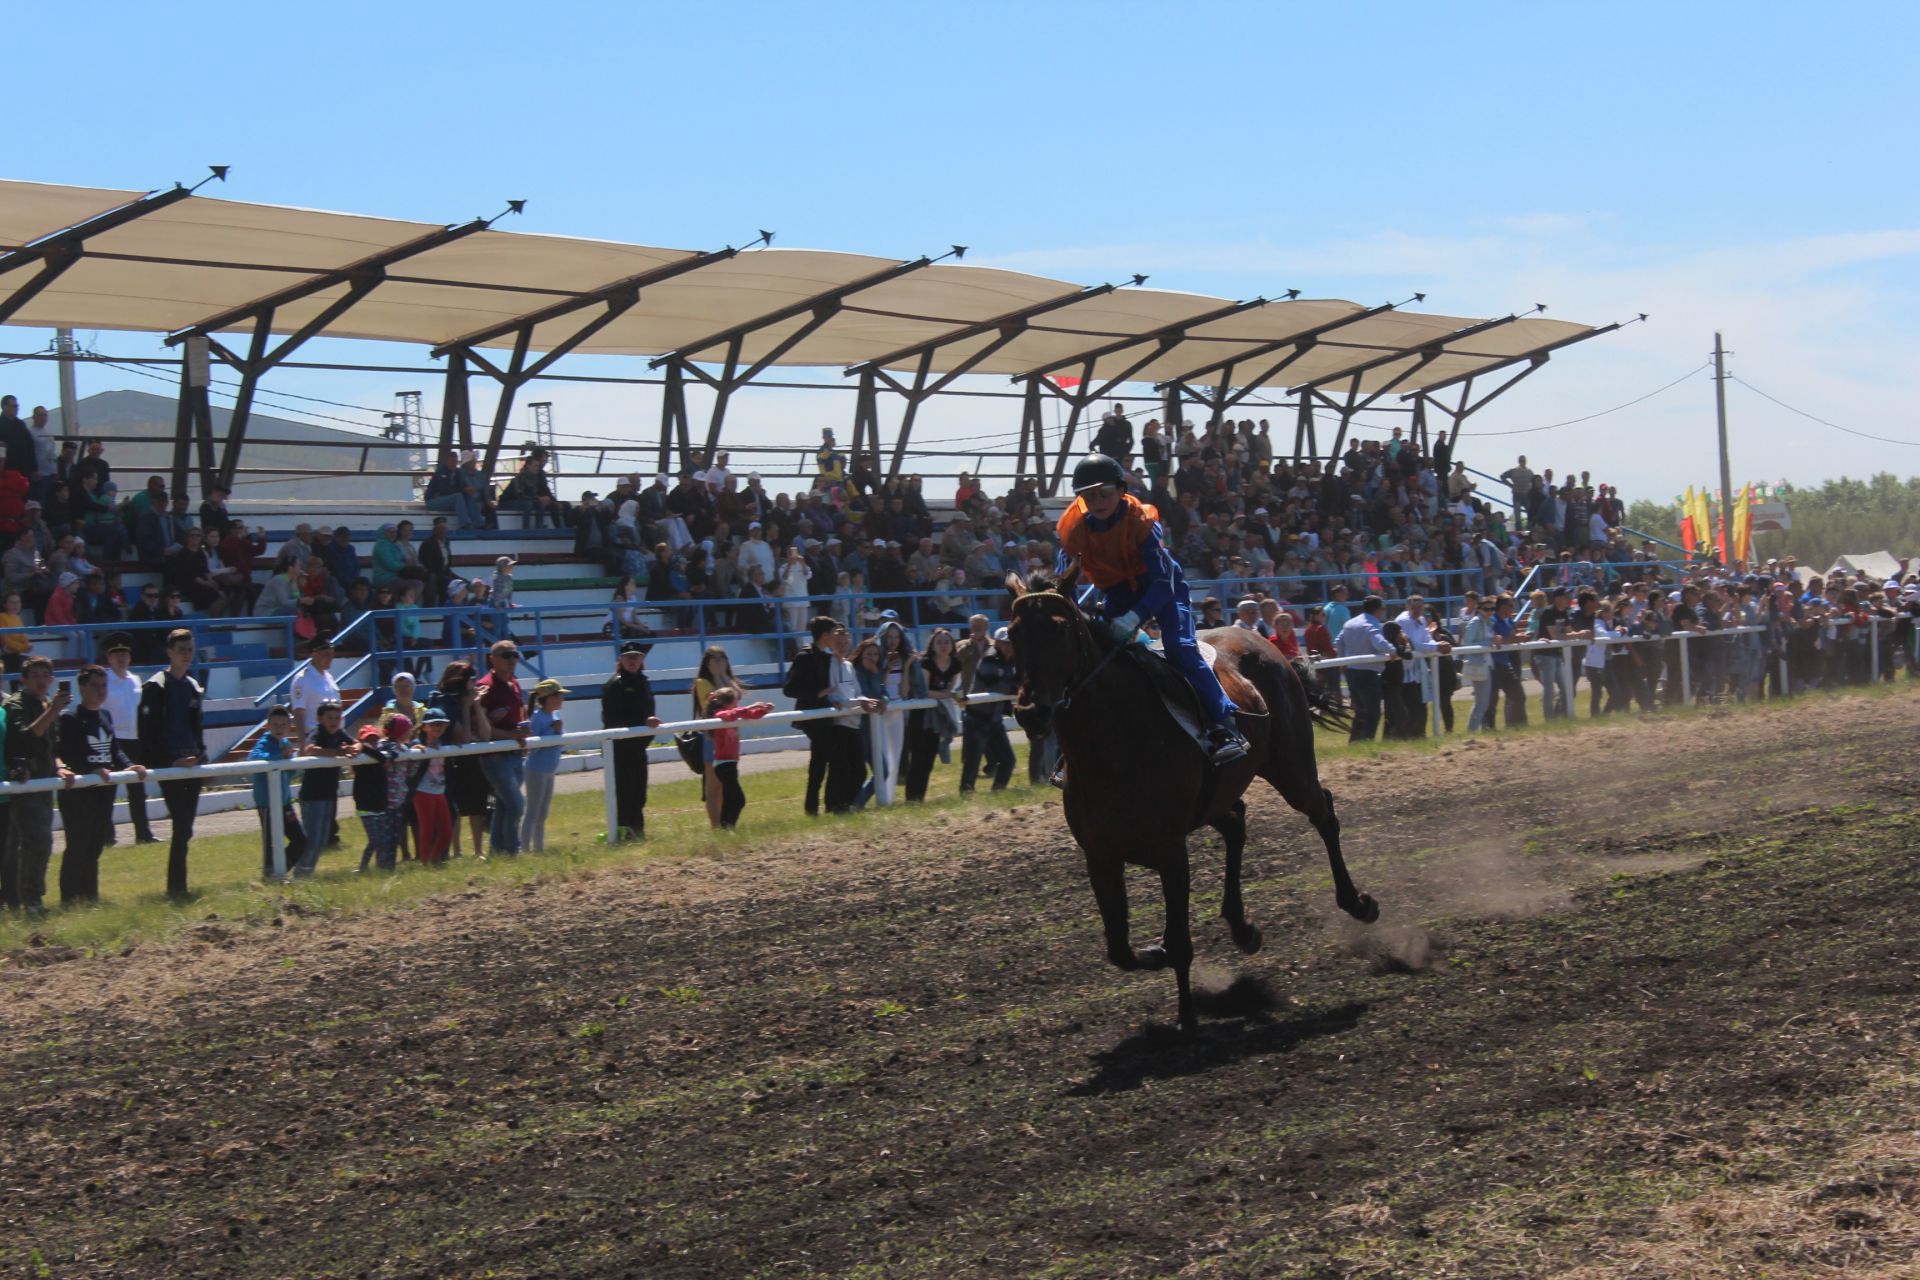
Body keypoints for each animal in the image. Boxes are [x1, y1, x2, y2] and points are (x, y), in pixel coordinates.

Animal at [1006, 564, 1382, 1036]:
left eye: (1058, 628)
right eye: (1012, 633)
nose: (1030, 712)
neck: (1112, 742)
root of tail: (1267, 644)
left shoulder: (1170, 851)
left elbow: (1180, 941)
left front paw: (1187, 1019)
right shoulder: (1100, 855)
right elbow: (1119, 948)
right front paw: (1156, 955)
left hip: (1290, 766)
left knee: (1323, 812)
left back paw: (1357, 903)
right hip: (1216, 797)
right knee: (1237, 823)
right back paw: (1242, 928)